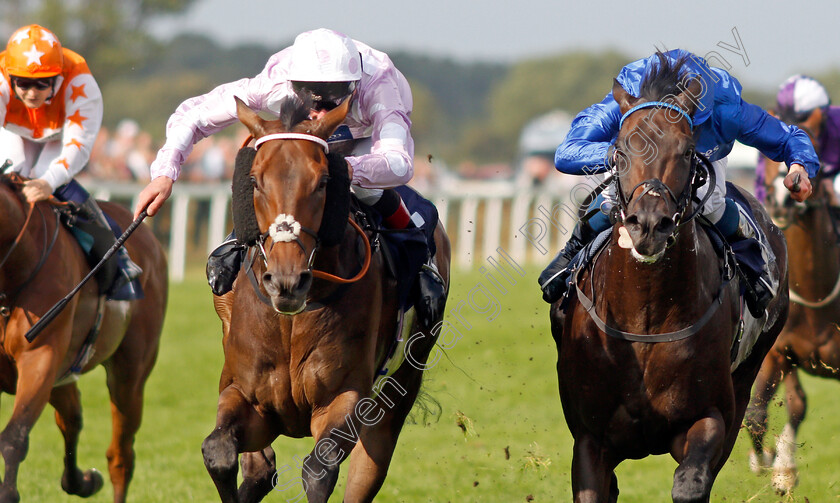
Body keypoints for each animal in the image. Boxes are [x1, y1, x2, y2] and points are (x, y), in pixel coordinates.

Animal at [0, 175, 169, 502]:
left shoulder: (40, 358)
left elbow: (14, 437)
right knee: (72, 417)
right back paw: (82, 481)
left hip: (129, 375)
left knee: (120, 456)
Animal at [203, 95, 450, 503]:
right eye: (254, 180)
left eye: (322, 182)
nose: (286, 282)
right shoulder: (249, 398)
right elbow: (219, 453)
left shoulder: (342, 398)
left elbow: (319, 468)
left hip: (401, 382)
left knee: (371, 461)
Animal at [552, 61, 788, 502]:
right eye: (621, 150)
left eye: (687, 151)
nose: (648, 225)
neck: (644, 316)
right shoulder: (590, 439)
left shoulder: (709, 416)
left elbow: (691, 484)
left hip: (748, 376)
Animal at [740, 108, 840, 494]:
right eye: (763, 159)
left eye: (814, 149)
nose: (781, 201)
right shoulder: (779, 353)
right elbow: (758, 414)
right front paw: (772, 462)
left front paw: (780, 463)